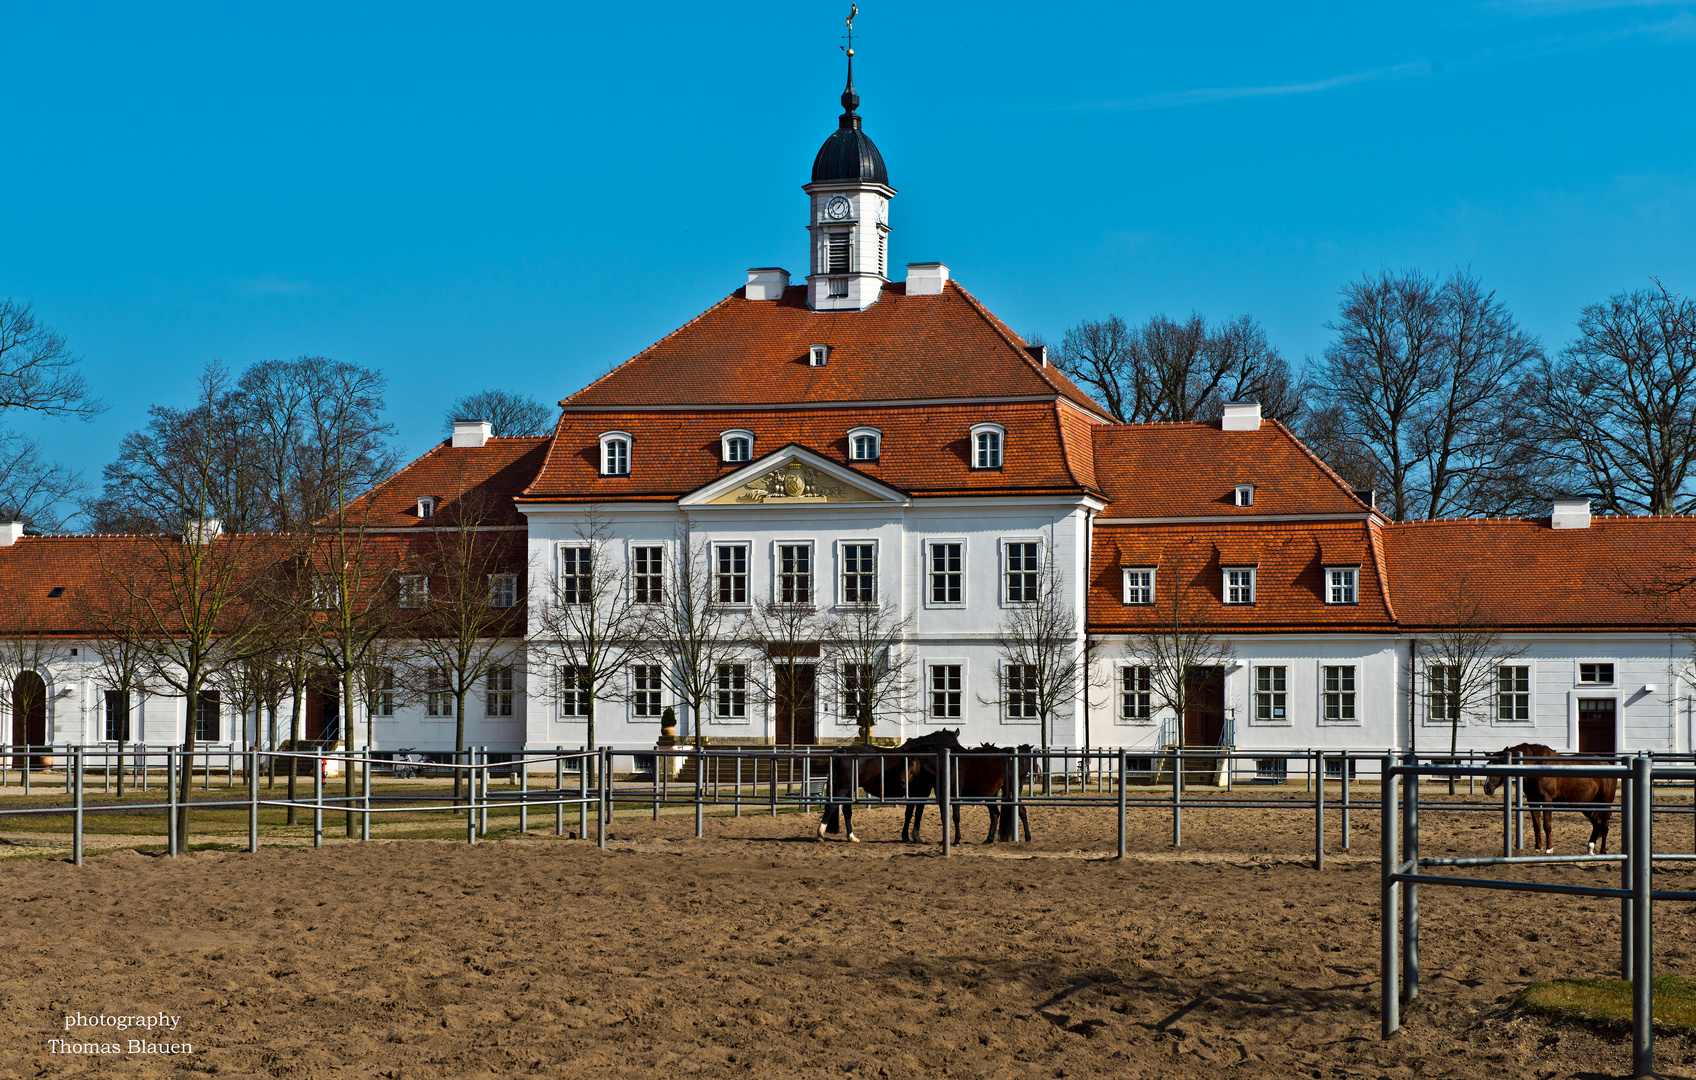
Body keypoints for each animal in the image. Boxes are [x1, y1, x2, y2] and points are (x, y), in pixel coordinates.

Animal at [824, 729, 970, 847]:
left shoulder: (915, 793)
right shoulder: (921, 792)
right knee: (834, 806)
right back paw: (821, 833)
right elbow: (916, 813)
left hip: (849, 789)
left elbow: (909, 813)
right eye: (956, 744)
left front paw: (906, 836)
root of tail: (843, 751)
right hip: (845, 788)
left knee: (846, 811)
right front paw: (914, 837)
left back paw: (851, 837)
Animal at [1485, 742, 1614, 851]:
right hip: (1587, 805)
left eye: (1497, 767)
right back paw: (1590, 848)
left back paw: (1603, 851)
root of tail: (1607, 764)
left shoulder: (1547, 801)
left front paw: (1549, 849)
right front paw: (1538, 848)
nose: (1487, 788)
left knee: (1605, 826)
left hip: (1605, 804)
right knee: (1597, 823)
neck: (1537, 766)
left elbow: (1547, 825)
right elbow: (1536, 825)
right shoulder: (1533, 801)